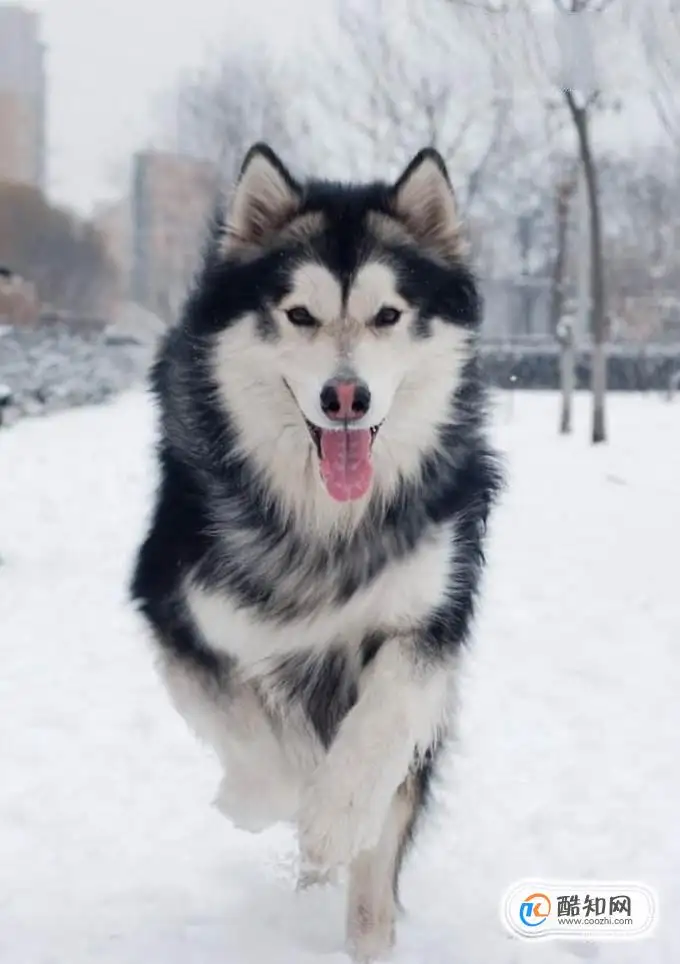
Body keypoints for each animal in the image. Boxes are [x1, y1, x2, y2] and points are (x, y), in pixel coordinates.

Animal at [133, 145, 502, 964]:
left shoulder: (432, 610)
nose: (346, 398)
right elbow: (244, 726)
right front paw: (268, 799)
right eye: (298, 314)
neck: (327, 524)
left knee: (378, 869)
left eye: (388, 315)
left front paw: (336, 815)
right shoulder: (173, 601)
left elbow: (387, 716)